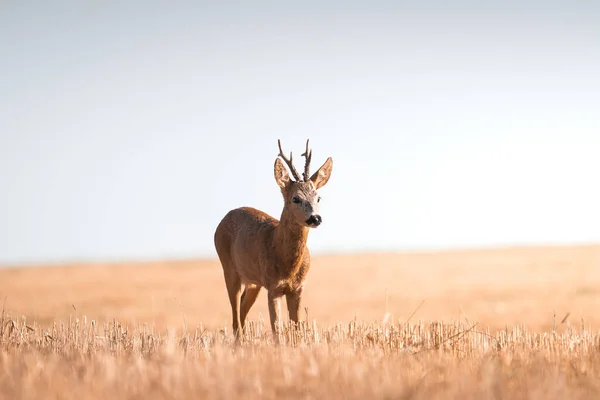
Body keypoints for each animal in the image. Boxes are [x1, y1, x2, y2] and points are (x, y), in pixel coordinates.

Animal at [213, 138, 332, 340]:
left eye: (319, 197)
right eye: (296, 198)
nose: (315, 218)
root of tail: (223, 220)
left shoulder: (297, 288)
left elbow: (296, 328)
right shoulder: (273, 287)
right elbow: (277, 329)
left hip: (253, 282)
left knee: (242, 311)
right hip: (229, 269)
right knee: (235, 316)